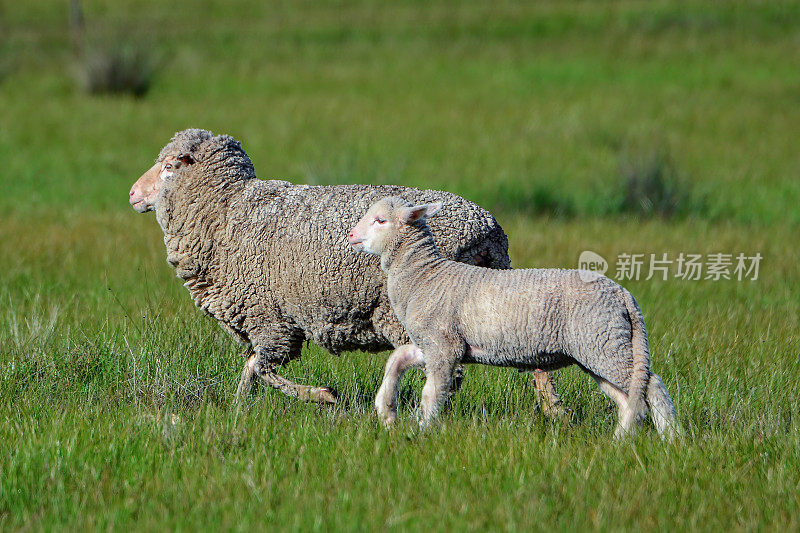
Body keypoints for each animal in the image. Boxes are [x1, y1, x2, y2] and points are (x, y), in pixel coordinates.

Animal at [126, 130, 564, 412]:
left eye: (169, 166)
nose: (131, 194)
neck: (224, 212)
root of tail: (486, 229)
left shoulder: (271, 319)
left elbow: (261, 368)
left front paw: (322, 396)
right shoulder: (277, 321)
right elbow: (253, 370)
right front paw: (239, 408)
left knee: (450, 376)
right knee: (535, 359)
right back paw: (554, 410)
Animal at [346, 195, 680, 436]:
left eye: (380, 220)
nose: (350, 235)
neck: (424, 276)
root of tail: (622, 293)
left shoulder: (444, 345)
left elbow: (433, 392)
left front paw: (420, 429)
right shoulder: (435, 344)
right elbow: (397, 359)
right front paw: (386, 411)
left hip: (604, 342)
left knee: (652, 385)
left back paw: (672, 439)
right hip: (600, 345)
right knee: (629, 398)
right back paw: (623, 439)